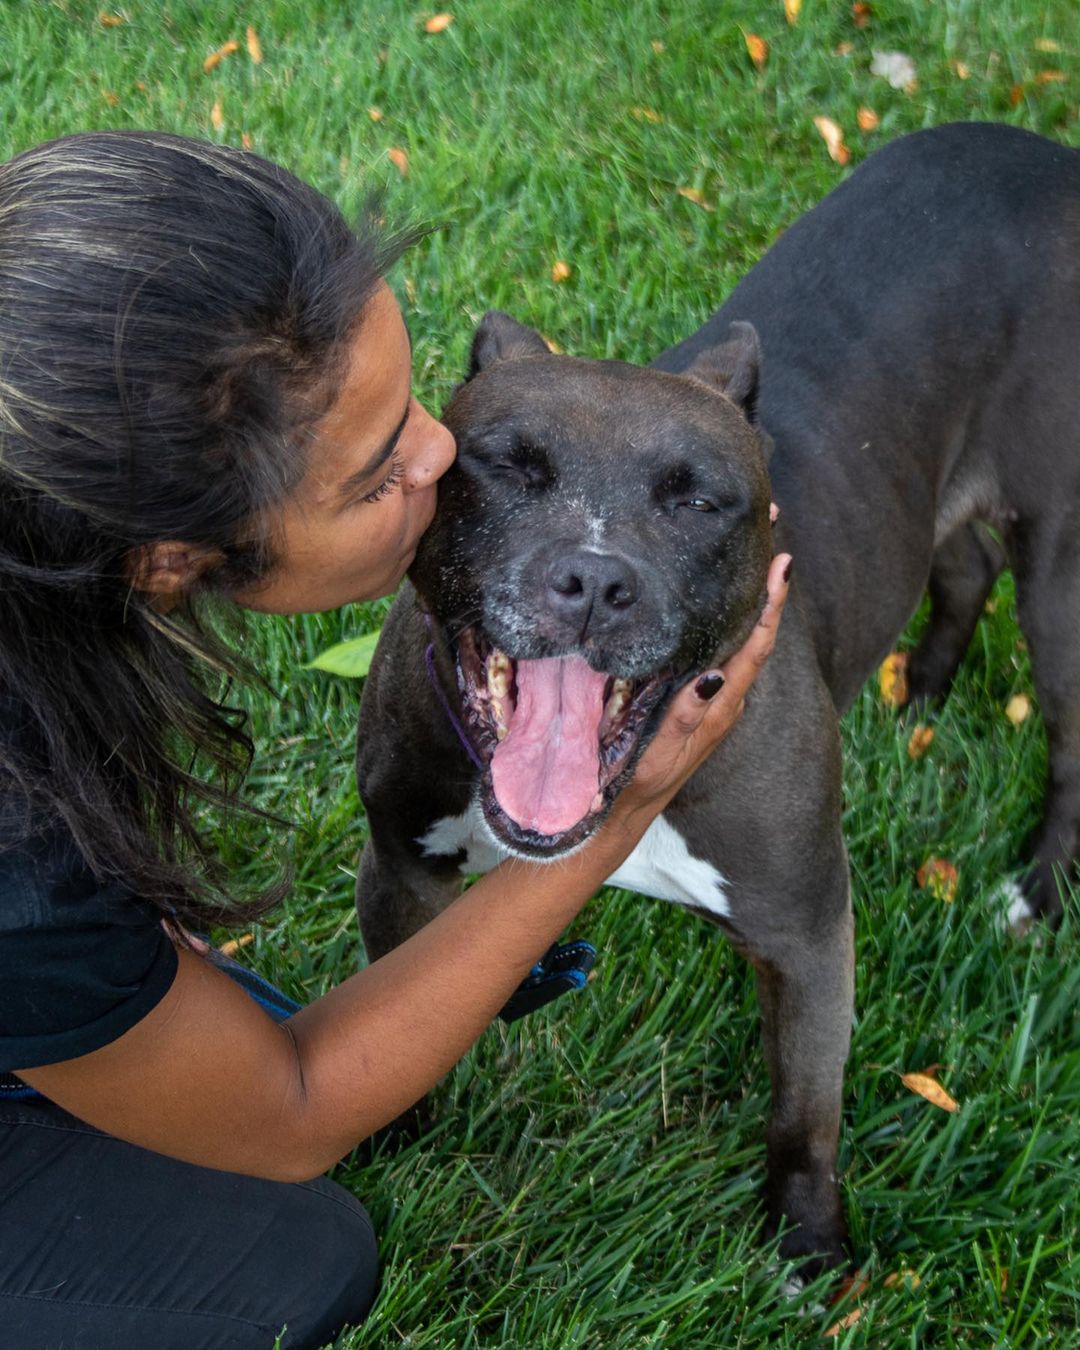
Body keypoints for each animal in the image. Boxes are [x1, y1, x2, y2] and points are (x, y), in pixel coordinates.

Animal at [356, 121, 1080, 1269]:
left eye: (697, 500)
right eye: (506, 466)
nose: (594, 580)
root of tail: (1047, 153)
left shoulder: (809, 932)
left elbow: (806, 1111)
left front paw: (810, 1248)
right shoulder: (401, 872)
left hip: (1059, 571)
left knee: (1068, 733)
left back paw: (1038, 889)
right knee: (959, 562)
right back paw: (918, 692)